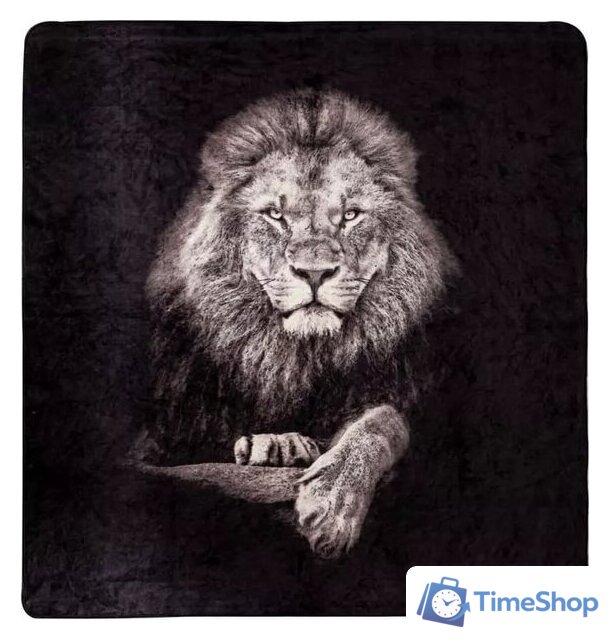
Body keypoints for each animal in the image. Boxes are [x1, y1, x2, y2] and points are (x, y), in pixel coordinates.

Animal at [134, 89, 456, 559]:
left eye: (350, 215)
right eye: (275, 215)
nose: (314, 272)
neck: (297, 357)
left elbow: (383, 420)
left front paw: (333, 503)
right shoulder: (160, 437)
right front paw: (277, 445)